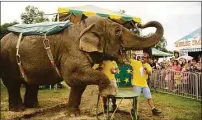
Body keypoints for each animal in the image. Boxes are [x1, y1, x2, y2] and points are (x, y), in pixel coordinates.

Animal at [0, 15, 163, 114]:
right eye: (117, 32)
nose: (140, 23)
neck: (82, 27)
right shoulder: (71, 51)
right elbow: (72, 77)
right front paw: (109, 92)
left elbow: (78, 84)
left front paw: (72, 113)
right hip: (8, 61)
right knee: (13, 84)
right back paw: (19, 110)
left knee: (32, 83)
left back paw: (33, 106)